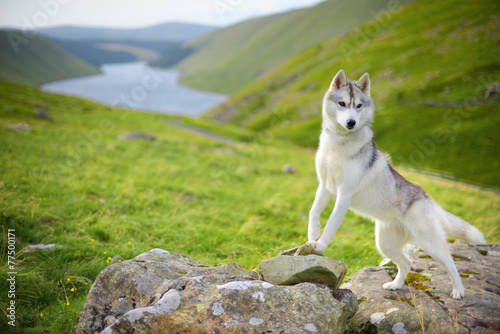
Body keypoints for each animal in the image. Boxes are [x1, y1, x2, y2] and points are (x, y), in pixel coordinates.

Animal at [306, 69, 486, 298]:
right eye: (342, 103)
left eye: (359, 106)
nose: (351, 122)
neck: (338, 143)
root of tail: (424, 194)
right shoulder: (325, 186)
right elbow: (313, 212)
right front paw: (312, 237)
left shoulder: (343, 195)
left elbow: (330, 225)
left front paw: (320, 245)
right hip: (385, 245)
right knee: (406, 263)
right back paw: (396, 285)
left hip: (429, 243)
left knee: (451, 262)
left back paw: (458, 291)